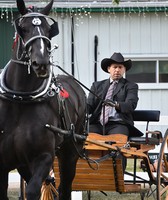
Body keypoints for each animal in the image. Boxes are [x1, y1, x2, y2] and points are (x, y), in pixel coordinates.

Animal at [0, 0, 86, 200]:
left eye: (48, 29)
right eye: (23, 28)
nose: (41, 63)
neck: (20, 101)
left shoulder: (44, 157)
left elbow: (33, 191)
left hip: (70, 151)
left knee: (65, 187)